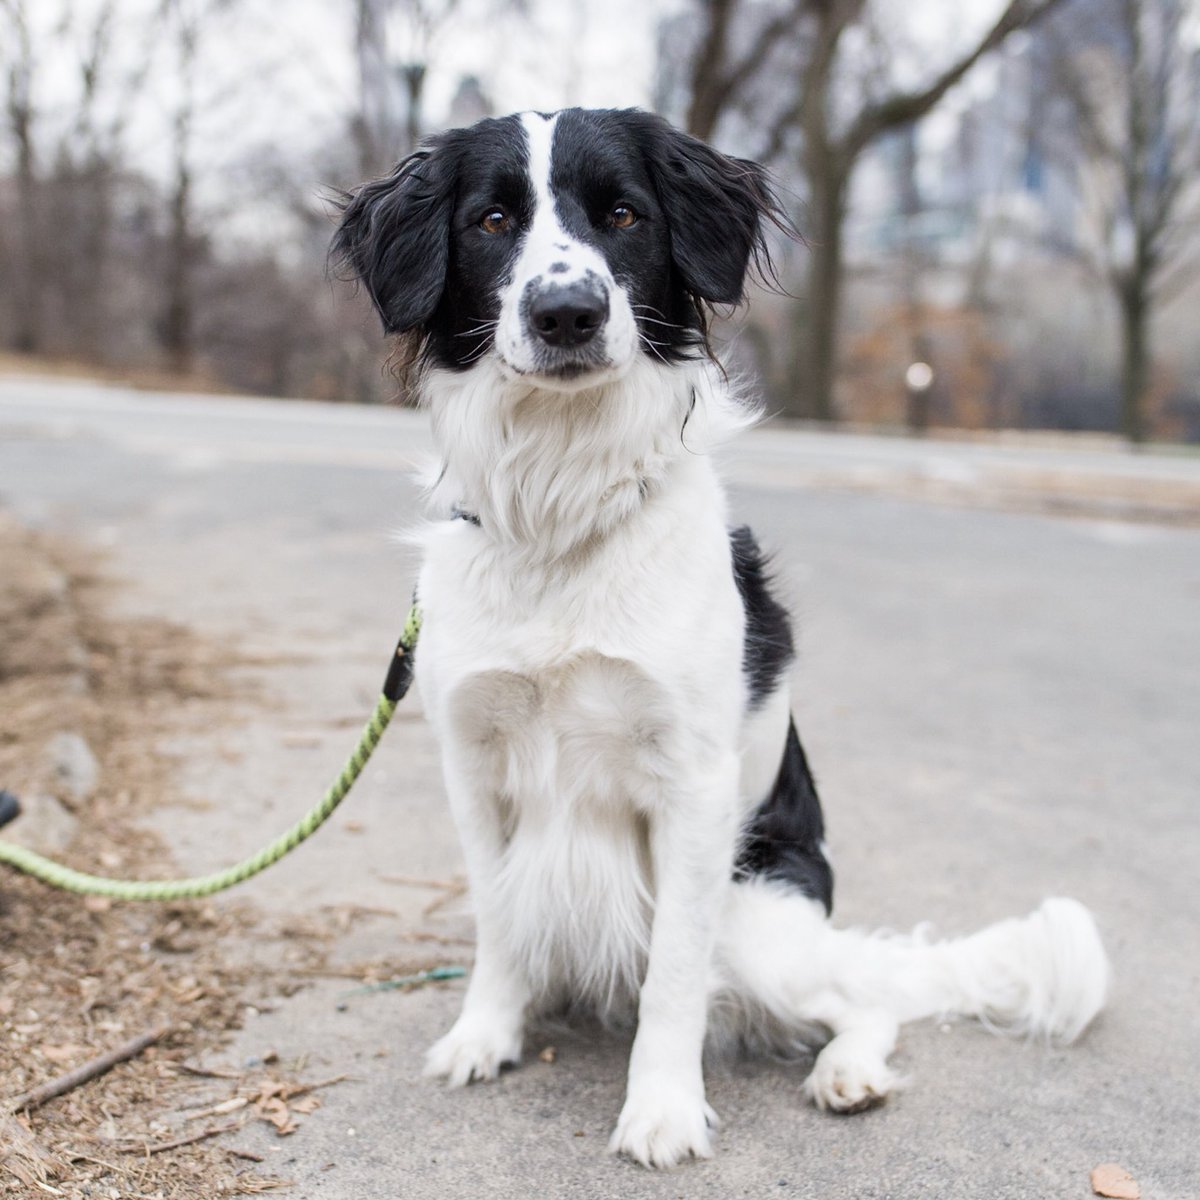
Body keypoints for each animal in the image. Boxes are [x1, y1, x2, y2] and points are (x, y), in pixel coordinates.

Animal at [333, 108, 1108, 1166]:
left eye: (623, 214)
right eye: (492, 220)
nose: (567, 313)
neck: (561, 513)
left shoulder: (693, 787)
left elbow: (673, 976)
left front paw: (660, 1107)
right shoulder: (473, 762)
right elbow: (497, 919)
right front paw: (485, 1034)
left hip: (762, 918)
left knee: (861, 1000)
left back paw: (849, 1073)